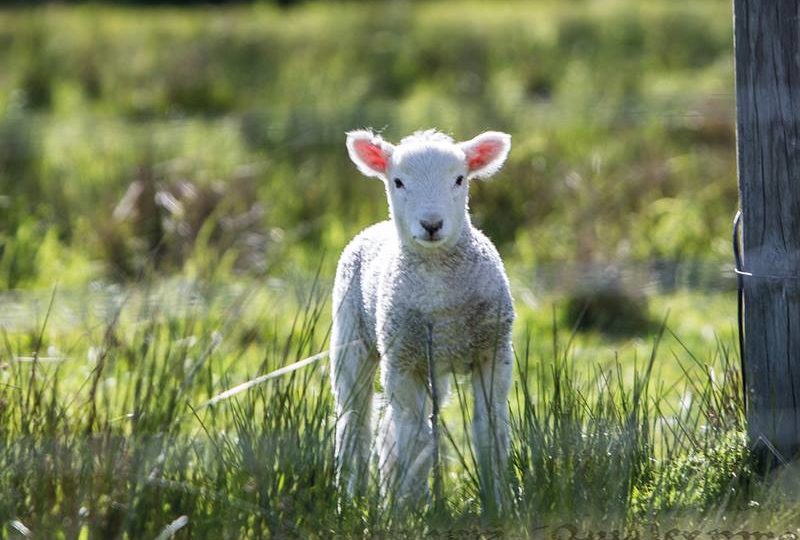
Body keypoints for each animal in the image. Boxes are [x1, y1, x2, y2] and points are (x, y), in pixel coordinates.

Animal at [330, 129, 512, 508]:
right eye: (398, 181)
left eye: (459, 179)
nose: (431, 224)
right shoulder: (402, 362)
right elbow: (416, 438)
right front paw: (413, 507)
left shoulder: (493, 352)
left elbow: (490, 429)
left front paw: (499, 502)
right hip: (351, 338)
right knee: (355, 421)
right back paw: (351, 498)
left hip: (433, 365)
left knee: (389, 425)